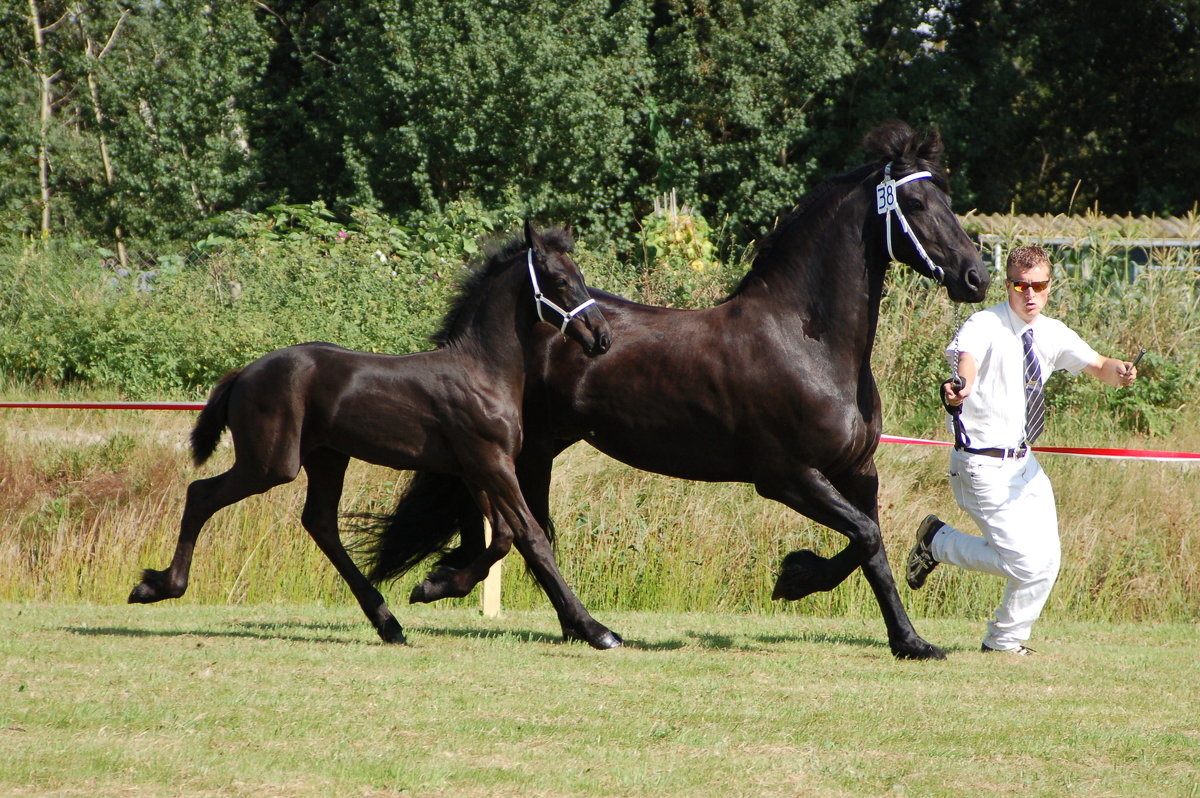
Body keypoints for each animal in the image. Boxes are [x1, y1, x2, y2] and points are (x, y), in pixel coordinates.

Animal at [129, 220, 609, 643]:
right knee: (201, 495)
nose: (601, 338)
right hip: (270, 464)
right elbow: (531, 535)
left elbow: (505, 537)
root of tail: (244, 373)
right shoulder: (490, 462)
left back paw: (387, 622)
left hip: (326, 457)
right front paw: (597, 631)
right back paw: (156, 586)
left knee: (320, 523)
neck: (481, 369)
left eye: (580, 277)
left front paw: (434, 585)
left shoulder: (478, 468)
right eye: (560, 280)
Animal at [364, 121, 993, 657]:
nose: (976, 276)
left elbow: (874, 546)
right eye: (916, 203)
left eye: (948, 198)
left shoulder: (858, 470)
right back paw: (558, 618)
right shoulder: (787, 477)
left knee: (521, 530)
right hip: (524, 449)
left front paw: (908, 640)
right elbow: (863, 537)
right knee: (522, 531)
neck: (807, 341)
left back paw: (538, 612)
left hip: (538, 448)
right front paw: (795, 578)